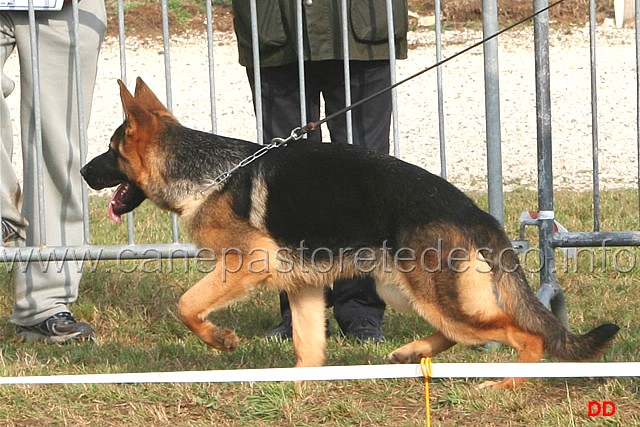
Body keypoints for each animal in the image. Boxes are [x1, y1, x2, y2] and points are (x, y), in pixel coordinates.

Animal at [82, 77, 616, 388]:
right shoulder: (302, 287)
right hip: (404, 290)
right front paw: (300, 387)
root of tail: (475, 212)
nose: (83, 172)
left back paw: (506, 382)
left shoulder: (246, 264)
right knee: (462, 332)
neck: (207, 173)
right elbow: (307, 348)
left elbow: (187, 304)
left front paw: (220, 340)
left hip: (431, 294)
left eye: (111, 150)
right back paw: (413, 352)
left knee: (524, 336)